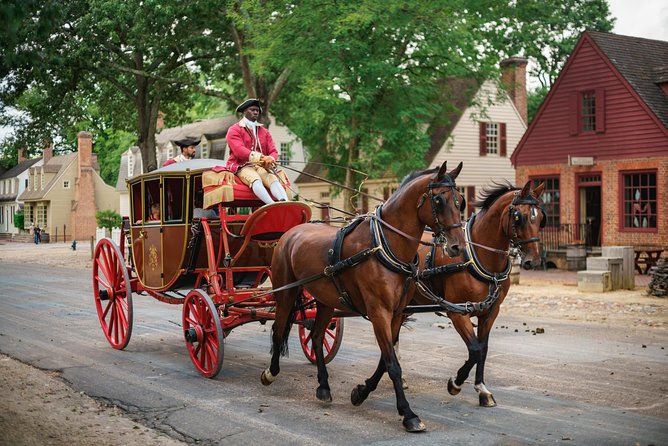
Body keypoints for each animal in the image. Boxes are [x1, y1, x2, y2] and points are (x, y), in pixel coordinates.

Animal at [260, 161, 464, 432]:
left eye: (460, 201)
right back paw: (270, 372)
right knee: (279, 329)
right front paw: (408, 413)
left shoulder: (397, 313)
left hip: (325, 300)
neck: (385, 245)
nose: (457, 246)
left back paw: (323, 386)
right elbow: (392, 364)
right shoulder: (379, 312)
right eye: (439, 200)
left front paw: (360, 392)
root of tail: (290, 233)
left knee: (316, 336)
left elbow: (385, 361)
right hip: (286, 292)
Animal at [410, 180, 544, 408]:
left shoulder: (490, 312)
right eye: (520, 216)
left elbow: (483, 348)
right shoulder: (457, 312)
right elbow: (474, 350)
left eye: (542, 217)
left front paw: (482, 389)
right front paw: (455, 383)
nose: (532, 261)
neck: (477, 257)